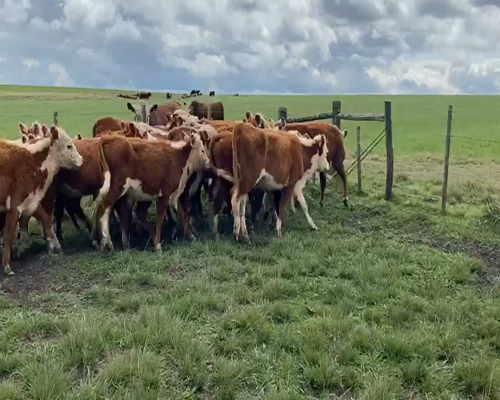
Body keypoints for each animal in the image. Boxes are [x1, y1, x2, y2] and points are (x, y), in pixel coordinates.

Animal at [0, 125, 83, 276]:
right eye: (69, 146)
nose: (81, 159)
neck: (32, 162)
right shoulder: (15, 207)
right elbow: (9, 236)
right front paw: (7, 266)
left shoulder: (30, 203)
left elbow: (45, 220)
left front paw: (55, 247)